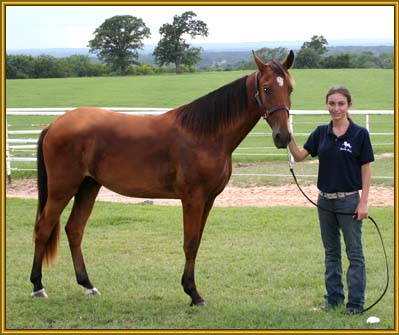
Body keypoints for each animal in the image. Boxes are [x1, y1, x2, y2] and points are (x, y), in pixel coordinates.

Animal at [29, 50, 296, 308]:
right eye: (266, 88)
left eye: (290, 88)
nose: (283, 137)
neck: (205, 135)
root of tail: (54, 124)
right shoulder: (192, 199)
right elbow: (190, 243)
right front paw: (193, 293)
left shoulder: (208, 200)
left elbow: (197, 242)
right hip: (63, 188)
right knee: (43, 228)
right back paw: (37, 286)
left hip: (88, 186)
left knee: (74, 229)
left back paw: (87, 285)